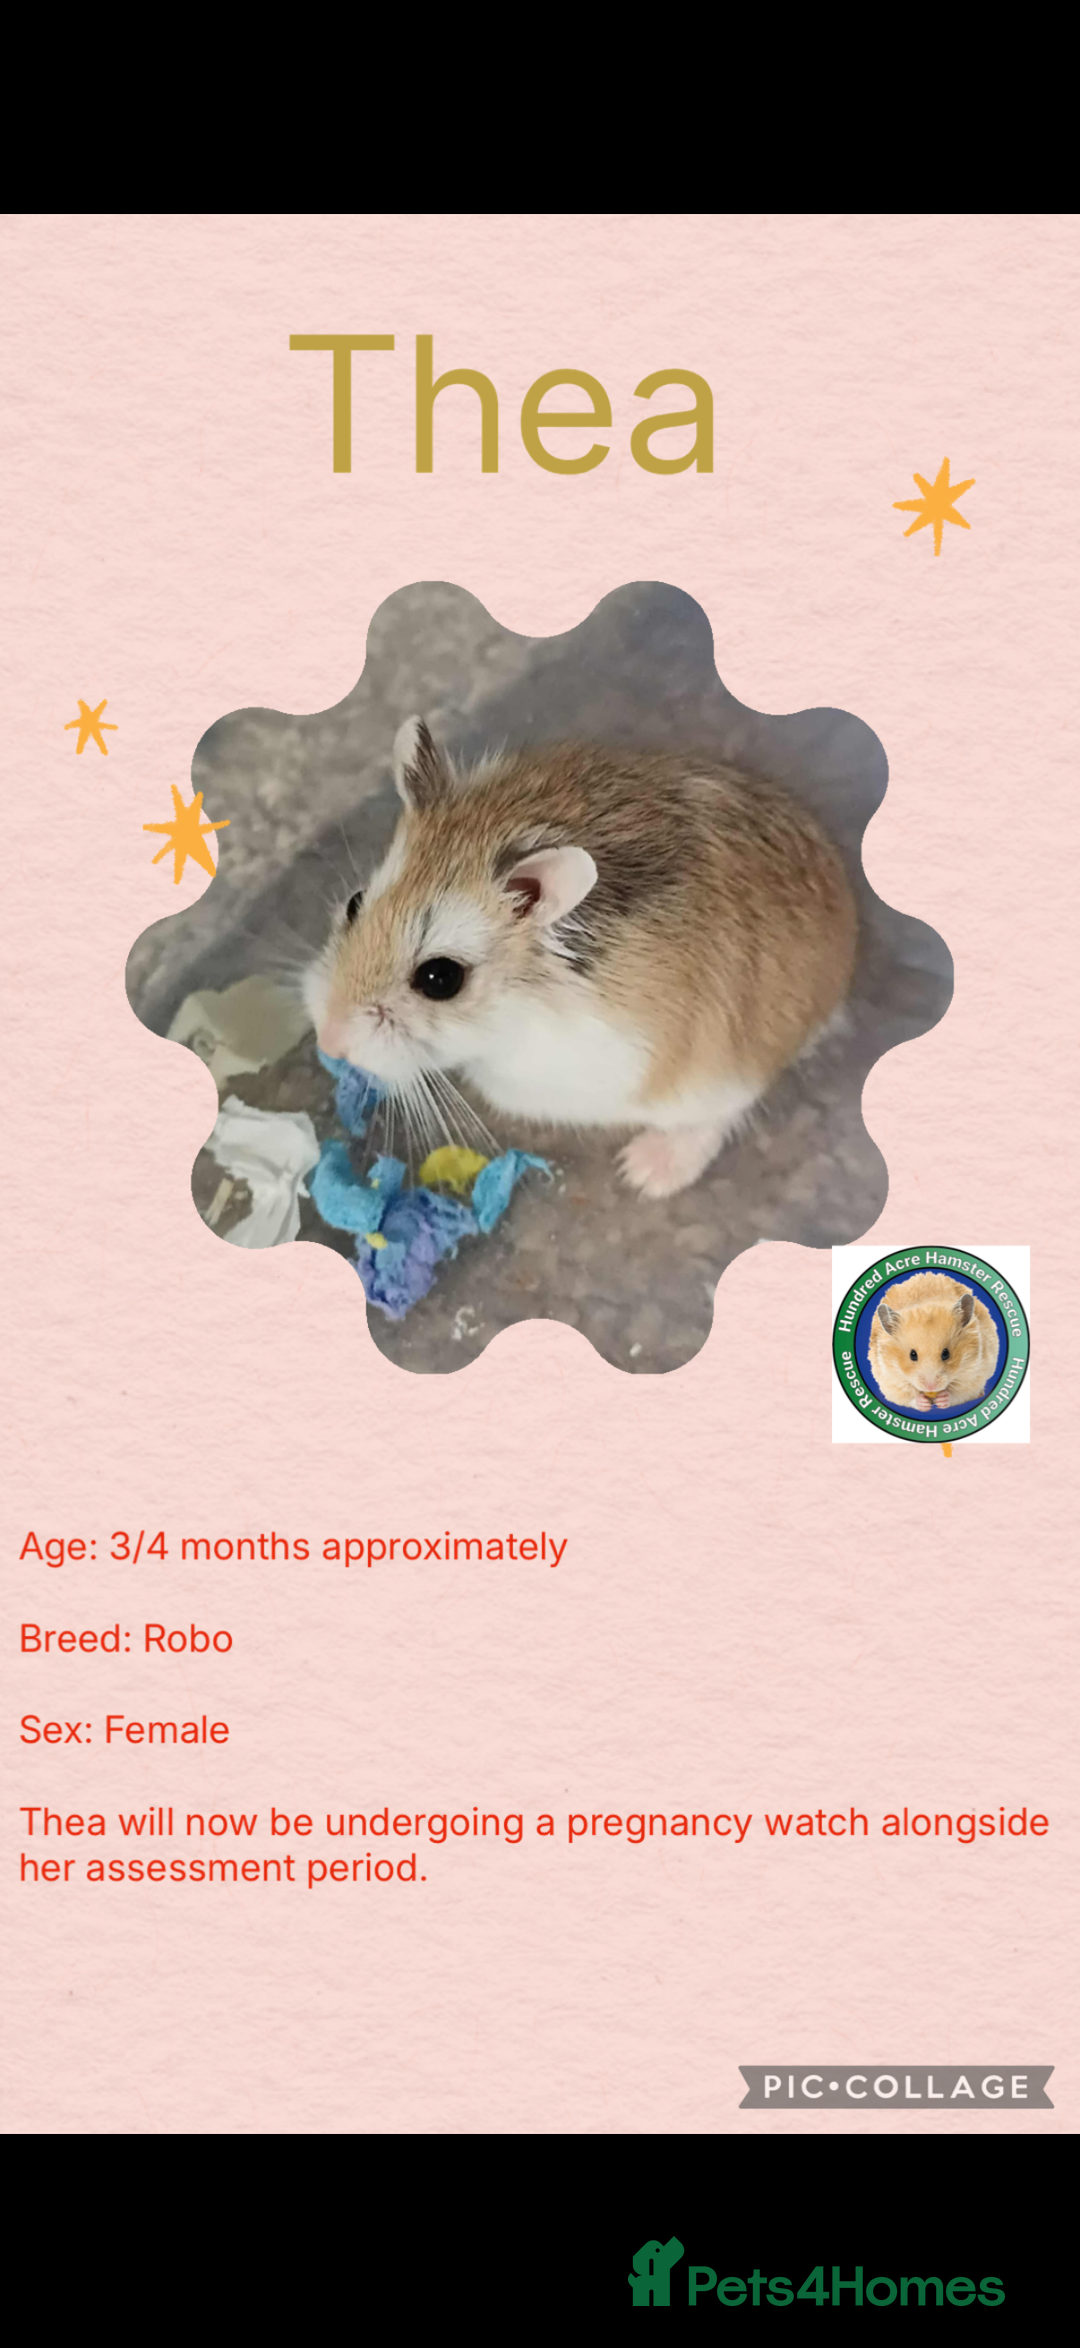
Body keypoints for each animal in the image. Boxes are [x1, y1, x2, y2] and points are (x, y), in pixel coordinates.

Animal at [304, 716, 858, 1198]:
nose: (329, 1042)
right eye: (354, 903)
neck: (520, 1003)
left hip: (717, 1076)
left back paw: (645, 1172)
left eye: (441, 978)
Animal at [869, 1273, 999, 1413]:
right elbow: (906, 1396)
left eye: (946, 1354)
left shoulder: (975, 1373)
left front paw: (942, 1399)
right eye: (912, 1355)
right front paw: (924, 1404)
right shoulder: (889, 1380)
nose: (931, 1387)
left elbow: (960, 1393)